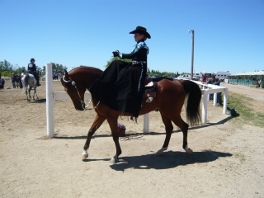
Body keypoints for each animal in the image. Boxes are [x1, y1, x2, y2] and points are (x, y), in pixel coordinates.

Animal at [60, 65, 201, 163]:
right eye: (65, 90)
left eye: (69, 88)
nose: (79, 107)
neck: (106, 88)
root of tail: (178, 82)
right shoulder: (101, 115)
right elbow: (90, 131)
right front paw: (85, 152)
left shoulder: (111, 117)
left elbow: (115, 136)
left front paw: (116, 156)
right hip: (164, 112)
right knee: (169, 129)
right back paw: (161, 150)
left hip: (172, 112)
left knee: (184, 126)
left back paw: (187, 149)